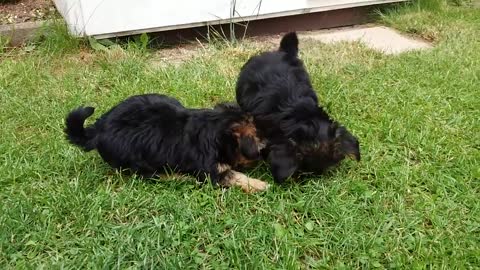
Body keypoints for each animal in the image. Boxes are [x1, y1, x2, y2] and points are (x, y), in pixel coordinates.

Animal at [64, 94, 270, 193]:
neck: (216, 129)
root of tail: (98, 129)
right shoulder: (211, 171)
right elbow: (234, 175)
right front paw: (259, 184)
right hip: (136, 159)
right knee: (149, 175)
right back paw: (178, 177)